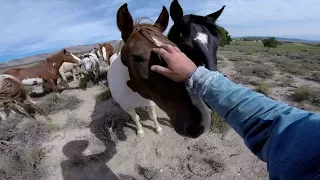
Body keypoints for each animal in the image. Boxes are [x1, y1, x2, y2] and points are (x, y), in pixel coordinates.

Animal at [116, 3, 211, 138]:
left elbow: (152, 115)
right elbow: (136, 118)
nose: (199, 125)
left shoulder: (150, 101)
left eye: (177, 48)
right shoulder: (127, 106)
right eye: (136, 58)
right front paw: (140, 131)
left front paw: (157, 128)